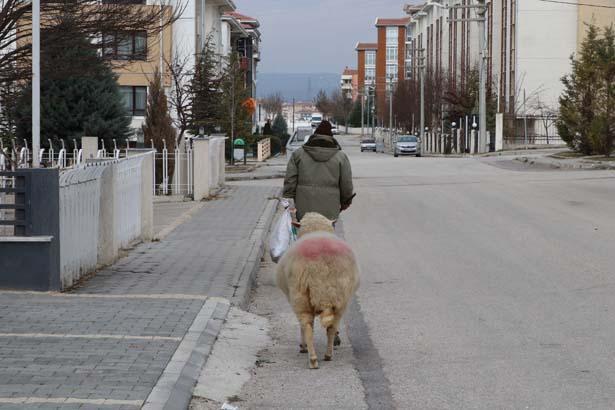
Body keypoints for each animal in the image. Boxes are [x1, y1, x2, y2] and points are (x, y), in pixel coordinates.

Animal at [276, 213, 358, 370]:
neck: (315, 229)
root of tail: (321, 269)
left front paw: (303, 347)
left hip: (300, 297)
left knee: (307, 326)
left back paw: (311, 357)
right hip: (341, 299)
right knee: (331, 327)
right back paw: (328, 354)